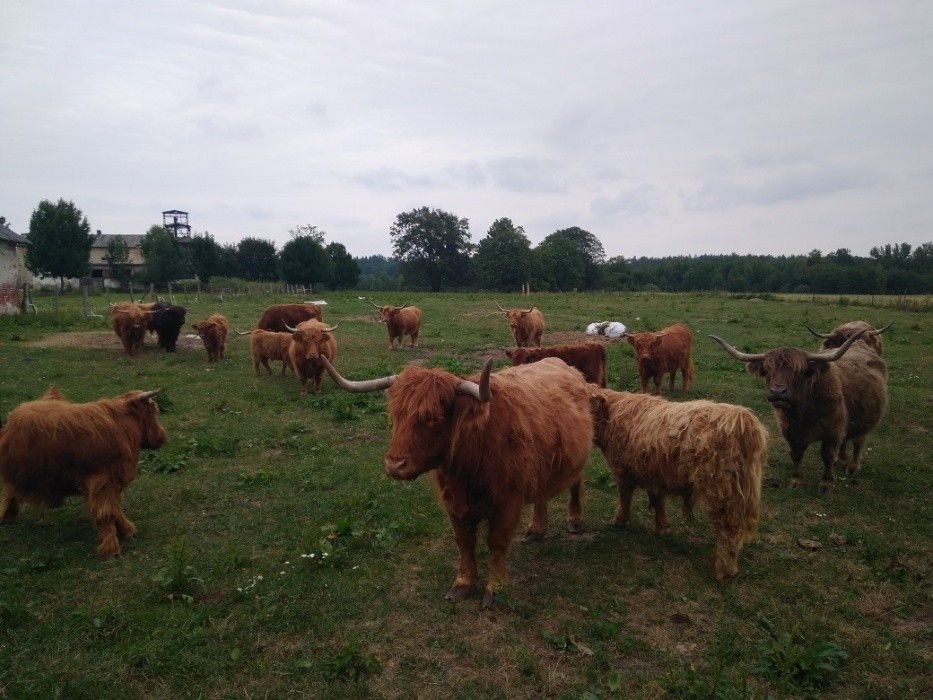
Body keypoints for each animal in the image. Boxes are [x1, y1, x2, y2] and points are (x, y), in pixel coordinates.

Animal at [0, 386, 167, 557]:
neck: (122, 427)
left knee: (10, 493)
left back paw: (7, 518)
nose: (163, 437)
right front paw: (111, 549)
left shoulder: (114, 482)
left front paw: (128, 533)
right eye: (152, 412)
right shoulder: (102, 482)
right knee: (11, 493)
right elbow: (108, 512)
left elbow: (116, 508)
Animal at [320, 355, 593, 608]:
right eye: (396, 415)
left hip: (577, 459)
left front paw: (495, 589)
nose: (394, 465)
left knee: (576, 484)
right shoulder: (453, 503)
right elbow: (464, 542)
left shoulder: (508, 503)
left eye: (434, 418)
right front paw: (463, 584)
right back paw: (536, 529)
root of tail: (564, 365)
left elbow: (497, 544)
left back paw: (574, 520)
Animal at [590, 387, 767, 581]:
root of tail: (742, 418)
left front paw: (620, 520)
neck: (612, 416)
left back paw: (724, 570)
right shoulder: (655, 475)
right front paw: (662, 528)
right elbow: (658, 501)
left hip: (722, 491)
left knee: (728, 531)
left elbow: (625, 498)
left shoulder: (622, 470)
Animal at [710, 330, 888, 492]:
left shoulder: (833, 431)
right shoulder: (790, 432)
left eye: (800, 372)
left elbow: (827, 456)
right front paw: (796, 480)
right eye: (767, 370)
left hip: (865, 421)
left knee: (858, 442)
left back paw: (852, 466)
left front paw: (827, 483)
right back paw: (842, 460)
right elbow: (796, 454)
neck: (802, 413)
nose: (778, 392)